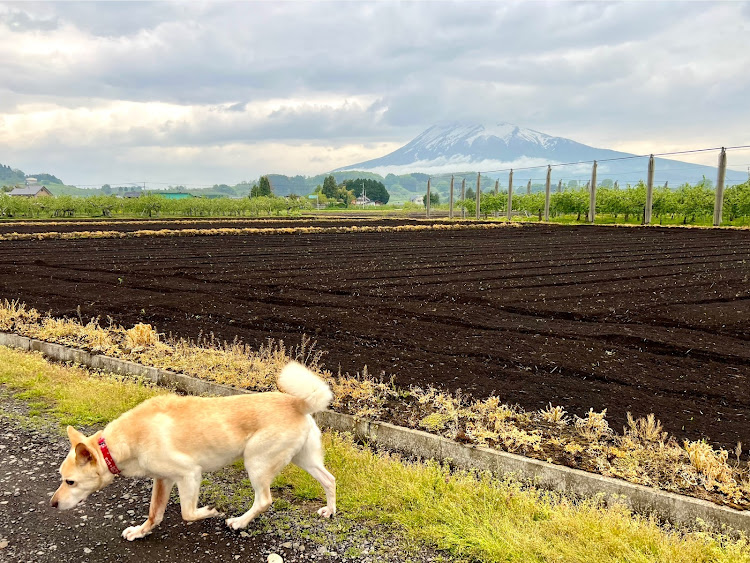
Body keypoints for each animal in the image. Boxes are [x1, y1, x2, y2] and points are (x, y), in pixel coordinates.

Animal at [48, 362, 336, 540]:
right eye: (62, 479)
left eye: (69, 481)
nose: (52, 504)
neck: (119, 442)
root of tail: (297, 403)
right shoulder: (162, 479)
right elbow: (154, 513)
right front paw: (141, 531)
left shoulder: (189, 474)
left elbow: (187, 513)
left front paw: (210, 511)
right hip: (304, 459)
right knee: (330, 480)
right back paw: (329, 511)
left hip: (256, 463)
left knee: (264, 500)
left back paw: (240, 522)